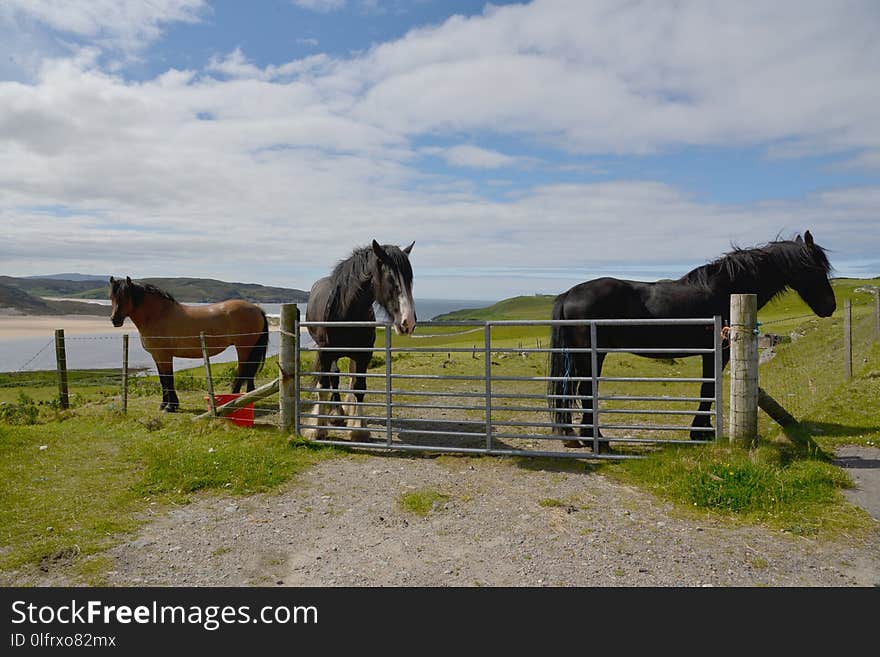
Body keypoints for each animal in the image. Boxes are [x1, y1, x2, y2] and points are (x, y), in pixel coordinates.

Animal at [109, 276, 268, 410]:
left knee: (243, 371)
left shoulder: (165, 356)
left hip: (244, 348)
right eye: (111, 297)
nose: (114, 320)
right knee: (248, 372)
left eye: (126, 296)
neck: (159, 315)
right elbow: (162, 380)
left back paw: (233, 399)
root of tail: (257, 308)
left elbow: (169, 379)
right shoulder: (157, 356)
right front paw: (164, 404)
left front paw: (170, 406)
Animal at [302, 241, 416, 440]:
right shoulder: (325, 352)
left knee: (350, 376)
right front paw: (317, 428)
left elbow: (359, 387)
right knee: (334, 377)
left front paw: (358, 429)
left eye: (410, 279)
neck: (347, 312)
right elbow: (324, 385)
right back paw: (336, 414)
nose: (408, 322)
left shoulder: (364, 354)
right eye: (391, 279)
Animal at [548, 231, 836, 452]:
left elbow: (707, 389)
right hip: (591, 355)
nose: (830, 306)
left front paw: (701, 431)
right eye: (816, 268)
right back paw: (596, 440)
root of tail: (569, 293)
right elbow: (707, 390)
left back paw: (576, 436)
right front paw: (701, 432)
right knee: (586, 390)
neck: (725, 290)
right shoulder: (716, 352)